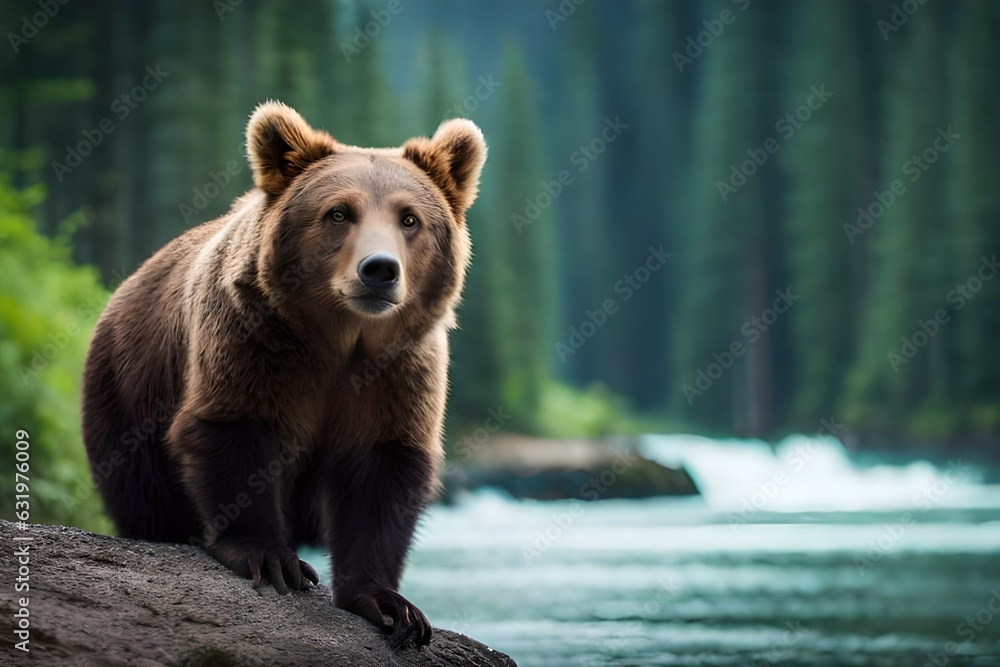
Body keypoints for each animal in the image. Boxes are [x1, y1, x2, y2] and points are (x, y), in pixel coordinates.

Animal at [80, 101, 487, 648]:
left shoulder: (400, 372)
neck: (342, 341)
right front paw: (272, 559)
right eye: (338, 212)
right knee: (142, 492)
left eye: (409, 218)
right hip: (124, 395)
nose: (379, 269)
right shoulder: (254, 342)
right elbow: (236, 430)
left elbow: (380, 472)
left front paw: (389, 604)